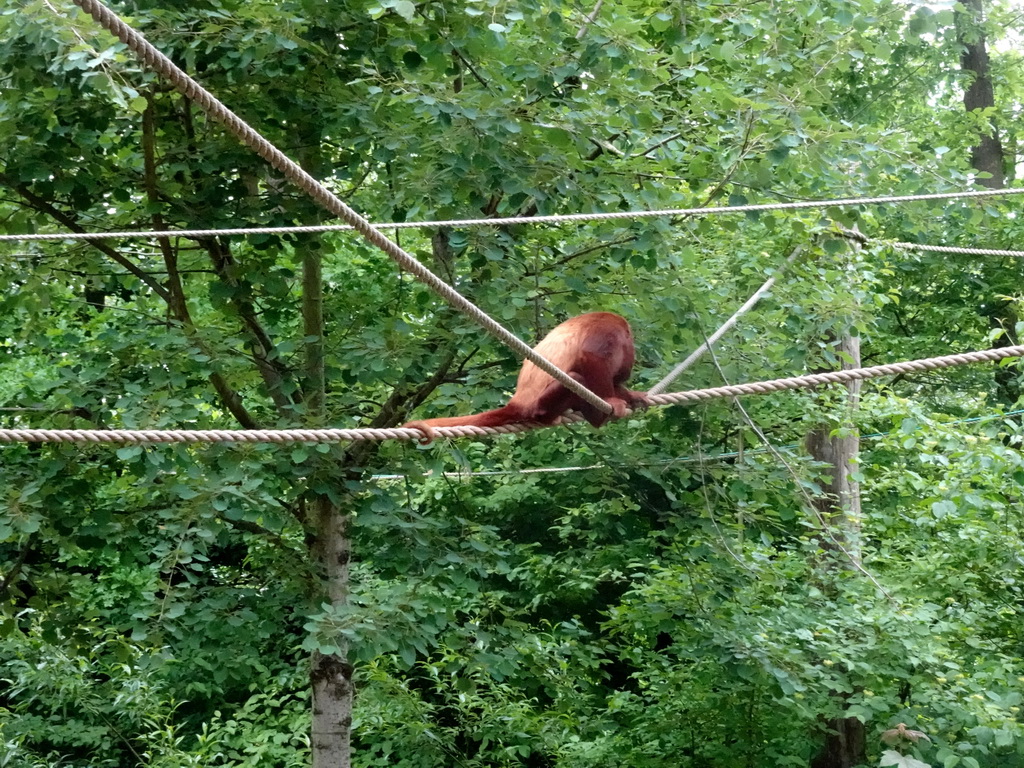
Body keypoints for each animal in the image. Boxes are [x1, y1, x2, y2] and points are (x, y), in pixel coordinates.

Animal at [401, 313, 647, 442]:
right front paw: (612, 400)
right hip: (541, 404)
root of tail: (517, 402)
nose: (627, 370)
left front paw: (632, 395)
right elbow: (592, 357)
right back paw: (593, 417)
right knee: (577, 377)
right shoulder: (607, 329)